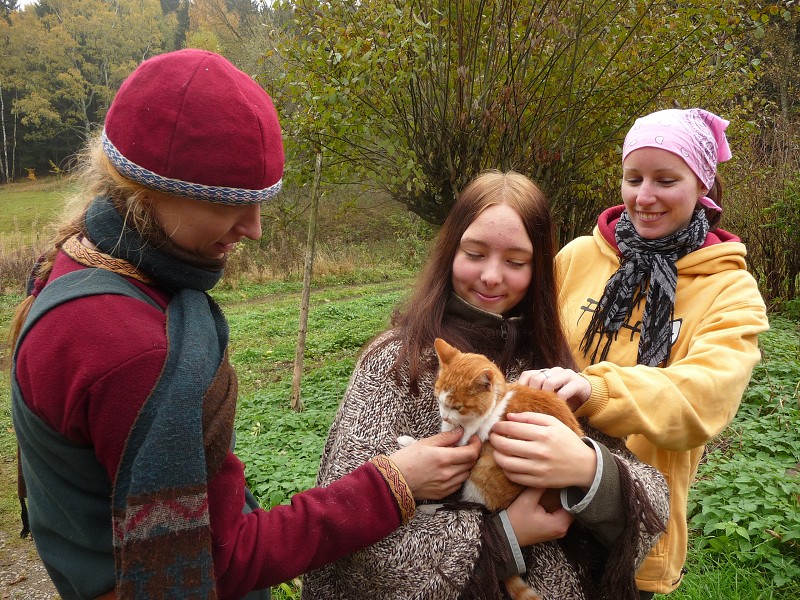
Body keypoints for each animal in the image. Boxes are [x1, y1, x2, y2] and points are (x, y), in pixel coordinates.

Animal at [396, 340, 584, 600]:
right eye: (438, 398)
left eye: (457, 406)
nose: (444, 416)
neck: (498, 401)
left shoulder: (465, 443)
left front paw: (409, 443)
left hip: (481, 476)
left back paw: (429, 509)